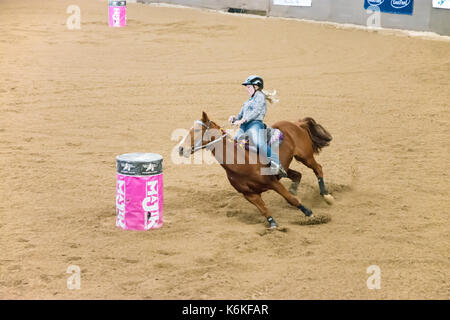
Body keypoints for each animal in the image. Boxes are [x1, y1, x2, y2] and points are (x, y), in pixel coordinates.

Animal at [178, 111, 334, 229]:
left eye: (196, 130)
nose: (180, 149)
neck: (241, 161)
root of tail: (296, 123)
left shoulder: (273, 183)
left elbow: (291, 199)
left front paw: (310, 214)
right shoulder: (249, 194)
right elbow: (264, 210)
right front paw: (274, 226)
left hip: (305, 157)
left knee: (318, 169)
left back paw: (326, 196)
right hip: (286, 167)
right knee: (297, 175)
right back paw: (295, 190)